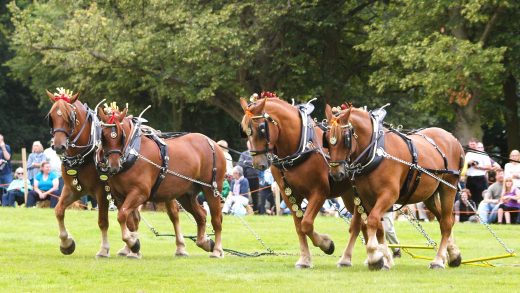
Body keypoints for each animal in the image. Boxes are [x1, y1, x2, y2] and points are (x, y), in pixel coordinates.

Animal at [47, 89, 189, 258]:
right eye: (51, 117)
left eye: (70, 117)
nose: (58, 146)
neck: (85, 154)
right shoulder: (72, 189)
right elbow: (59, 211)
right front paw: (66, 243)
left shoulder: (102, 192)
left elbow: (103, 221)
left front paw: (104, 249)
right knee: (133, 219)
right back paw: (130, 249)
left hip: (165, 189)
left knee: (173, 214)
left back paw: (180, 247)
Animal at [97, 106, 225, 256]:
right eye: (103, 135)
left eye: (120, 135)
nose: (114, 165)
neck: (133, 151)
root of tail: (213, 143)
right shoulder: (119, 196)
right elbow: (129, 221)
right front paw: (133, 245)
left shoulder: (140, 193)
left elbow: (122, 215)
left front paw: (132, 243)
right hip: (186, 194)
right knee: (201, 215)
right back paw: (203, 242)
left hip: (211, 189)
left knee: (216, 219)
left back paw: (217, 250)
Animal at [240, 94, 390, 270]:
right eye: (244, 130)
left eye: (262, 129)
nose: (258, 164)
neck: (299, 148)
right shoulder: (289, 195)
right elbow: (299, 227)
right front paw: (305, 259)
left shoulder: (319, 192)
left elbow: (307, 224)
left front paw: (326, 244)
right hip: (351, 196)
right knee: (366, 224)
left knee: (360, 225)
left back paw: (358, 258)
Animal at [324, 103, 464, 270]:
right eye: (327, 140)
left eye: (345, 139)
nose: (336, 173)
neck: (376, 152)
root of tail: (453, 138)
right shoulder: (364, 197)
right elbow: (366, 225)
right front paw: (377, 257)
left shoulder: (389, 195)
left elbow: (372, 221)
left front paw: (375, 256)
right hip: (429, 195)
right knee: (443, 219)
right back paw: (453, 254)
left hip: (448, 188)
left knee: (446, 223)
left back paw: (438, 260)